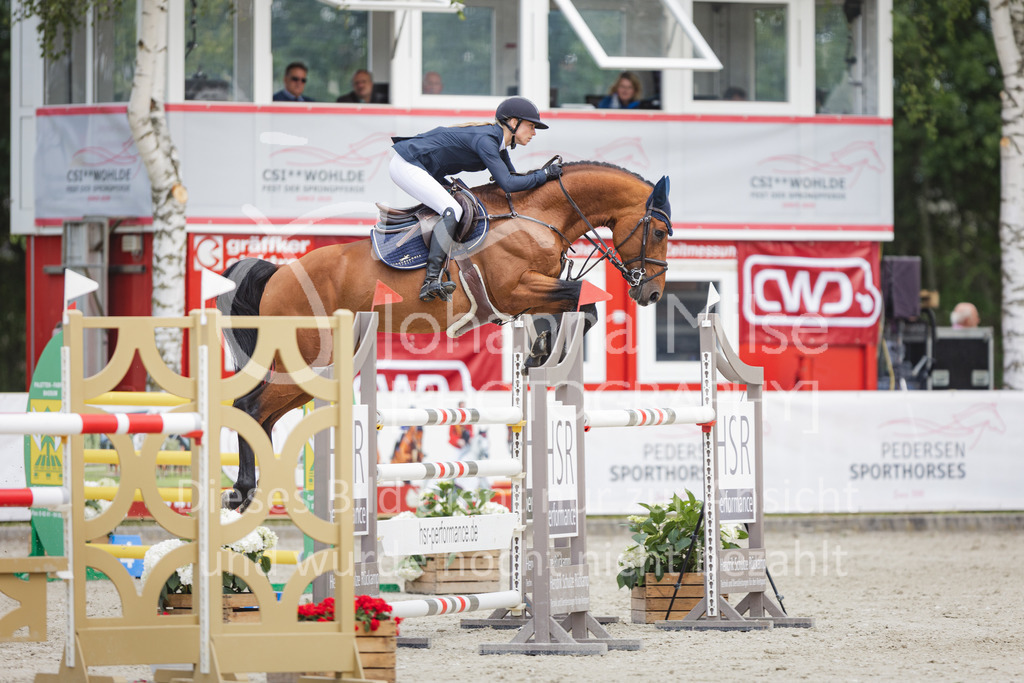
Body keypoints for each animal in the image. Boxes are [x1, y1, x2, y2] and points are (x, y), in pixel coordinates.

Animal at [217, 161, 672, 510]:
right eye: (660, 232)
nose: (650, 293)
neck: (537, 215)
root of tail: (280, 273)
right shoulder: (516, 290)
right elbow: (582, 301)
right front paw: (542, 352)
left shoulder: (530, 293)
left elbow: (575, 308)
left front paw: (539, 352)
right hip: (306, 359)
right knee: (250, 406)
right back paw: (242, 491)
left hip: (316, 370)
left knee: (263, 415)